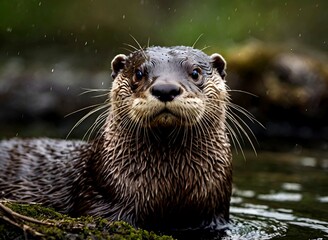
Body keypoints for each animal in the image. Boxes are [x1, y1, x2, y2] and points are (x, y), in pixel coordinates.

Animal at [0, 46, 232, 235]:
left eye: (195, 72)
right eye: (138, 73)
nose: (165, 89)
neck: (171, 187)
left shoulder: (214, 213)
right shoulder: (104, 199)